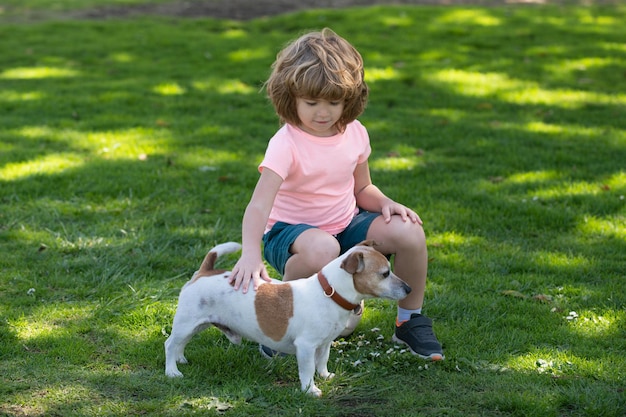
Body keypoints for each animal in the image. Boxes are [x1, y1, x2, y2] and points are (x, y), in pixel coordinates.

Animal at [163, 239, 412, 394]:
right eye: (385, 273)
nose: (409, 289)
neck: (329, 293)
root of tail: (205, 271)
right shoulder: (306, 346)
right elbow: (307, 370)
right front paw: (310, 390)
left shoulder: (324, 344)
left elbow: (322, 362)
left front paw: (325, 376)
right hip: (187, 323)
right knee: (170, 343)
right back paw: (172, 371)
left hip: (196, 325)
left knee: (180, 343)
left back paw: (180, 359)